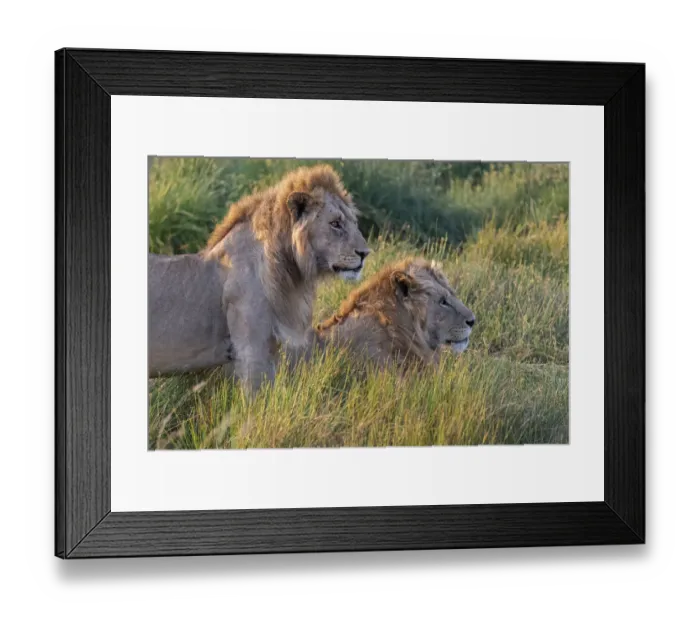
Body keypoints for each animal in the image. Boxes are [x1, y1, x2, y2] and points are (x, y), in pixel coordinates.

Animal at [148, 165, 370, 392]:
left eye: (354, 223)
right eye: (335, 224)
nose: (365, 253)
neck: (289, 272)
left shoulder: (269, 347)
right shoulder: (250, 350)